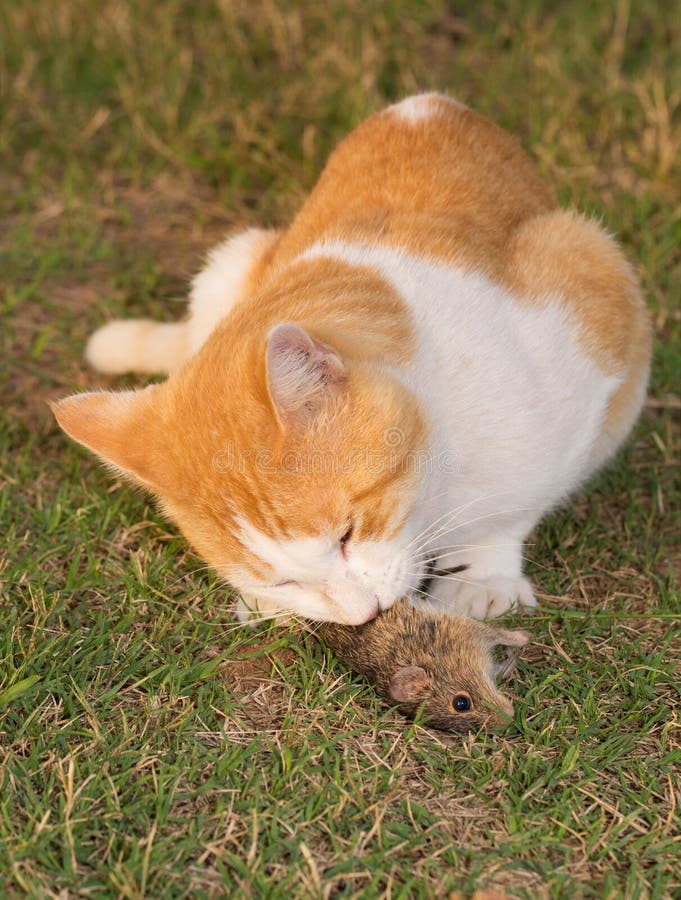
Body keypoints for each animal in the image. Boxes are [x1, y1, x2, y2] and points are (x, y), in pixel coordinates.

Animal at [50, 93, 652, 624]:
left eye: (347, 533)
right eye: (282, 580)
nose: (364, 613)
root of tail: (429, 102)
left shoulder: (581, 337)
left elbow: (511, 505)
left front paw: (483, 575)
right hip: (230, 263)